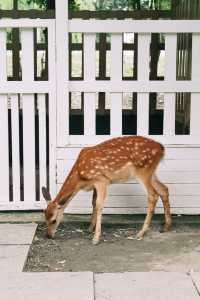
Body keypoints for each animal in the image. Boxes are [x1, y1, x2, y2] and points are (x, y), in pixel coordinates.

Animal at [41, 136, 170, 244]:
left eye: (53, 220)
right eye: (45, 218)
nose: (48, 235)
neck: (80, 177)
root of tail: (161, 149)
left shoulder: (101, 179)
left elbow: (99, 205)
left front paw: (96, 238)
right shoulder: (94, 184)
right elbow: (93, 203)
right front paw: (90, 228)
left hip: (143, 170)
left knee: (153, 195)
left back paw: (141, 232)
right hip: (152, 173)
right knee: (164, 189)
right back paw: (166, 227)